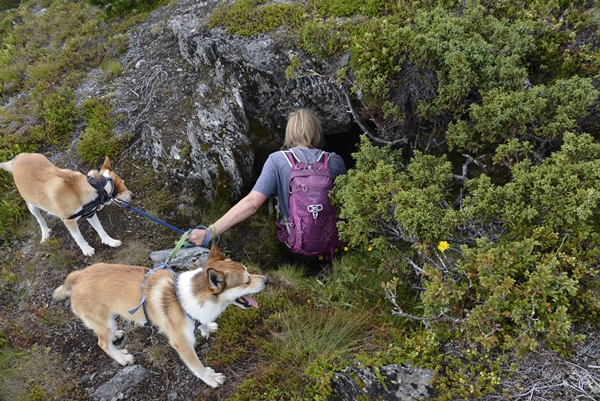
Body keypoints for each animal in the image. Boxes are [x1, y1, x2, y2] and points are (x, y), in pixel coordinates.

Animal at [0, 152, 134, 255]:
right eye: (122, 187)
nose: (133, 196)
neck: (94, 186)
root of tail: (18, 158)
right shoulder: (69, 222)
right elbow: (78, 237)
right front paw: (86, 249)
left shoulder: (89, 214)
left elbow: (101, 230)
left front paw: (110, 241)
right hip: (32, 205)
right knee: (40, 219)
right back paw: (45, 233)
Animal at [52, 241, 268, 388]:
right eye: (246, 281)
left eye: (248, 272)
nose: (266, 279)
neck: (187, 300)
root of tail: (76, 276)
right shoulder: (182, 345)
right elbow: (198, 367)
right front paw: (211, 377)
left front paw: (206, 327)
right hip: (103, 323)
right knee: (102, 344)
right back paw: (121, 358)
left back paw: (117, 336)